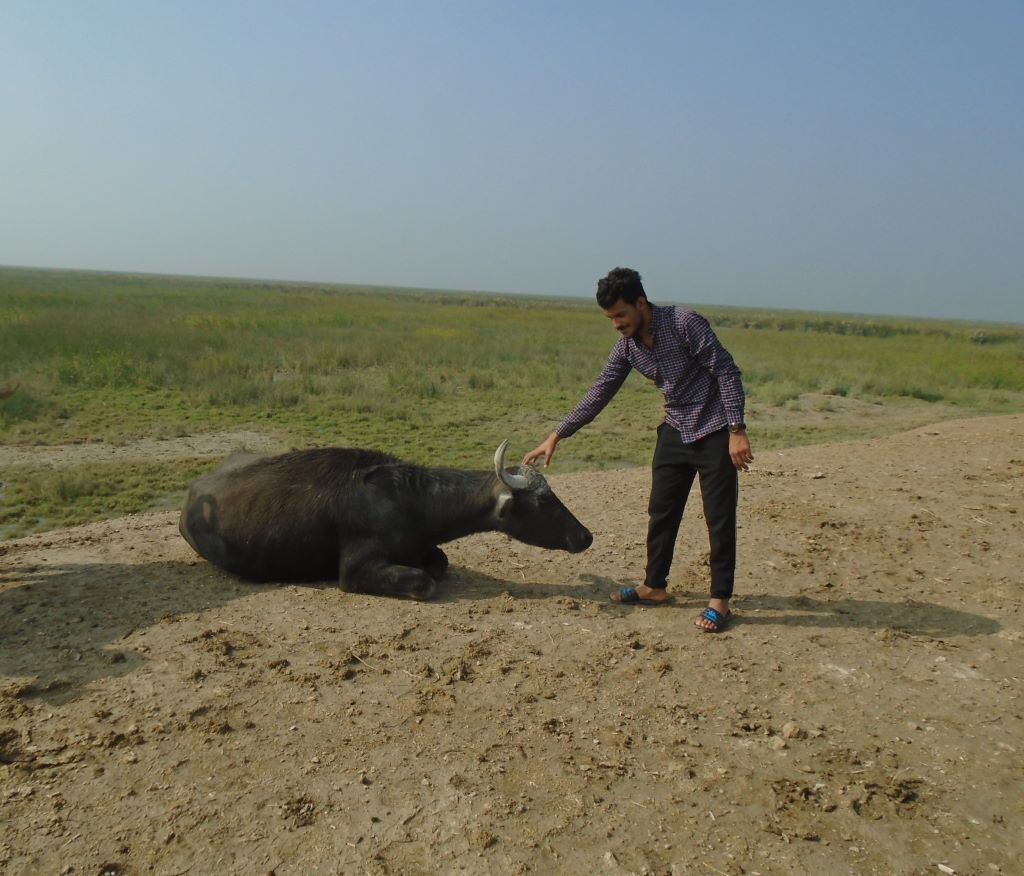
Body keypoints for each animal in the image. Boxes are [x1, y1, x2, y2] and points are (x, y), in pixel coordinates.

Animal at [178, 442, 593, 598]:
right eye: (543, 500)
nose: (585, 536)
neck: (409, 499)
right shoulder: (355, 570)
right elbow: (425, 581)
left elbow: (440, 562)